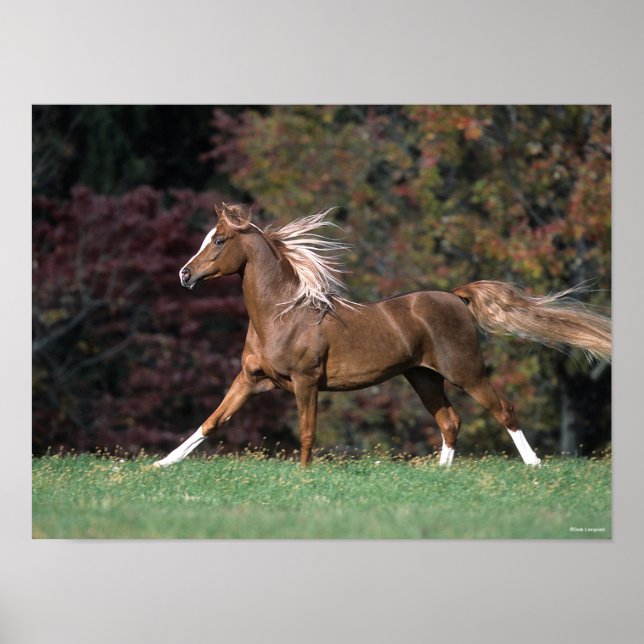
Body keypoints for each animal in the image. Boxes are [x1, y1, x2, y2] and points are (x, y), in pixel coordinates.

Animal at [154, 203, 611, 468]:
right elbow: (212, 421)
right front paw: (160, 466)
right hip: (423, 376)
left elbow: (307, 431)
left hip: (466, 372)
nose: (184, 275)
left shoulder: (305, 382)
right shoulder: (251, 380)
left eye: (219, 239)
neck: (283, 315)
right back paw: (439, 475)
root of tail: (456, 297)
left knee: (504, 410)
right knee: (450, 421)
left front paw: (302, 477)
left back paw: (533, 465)